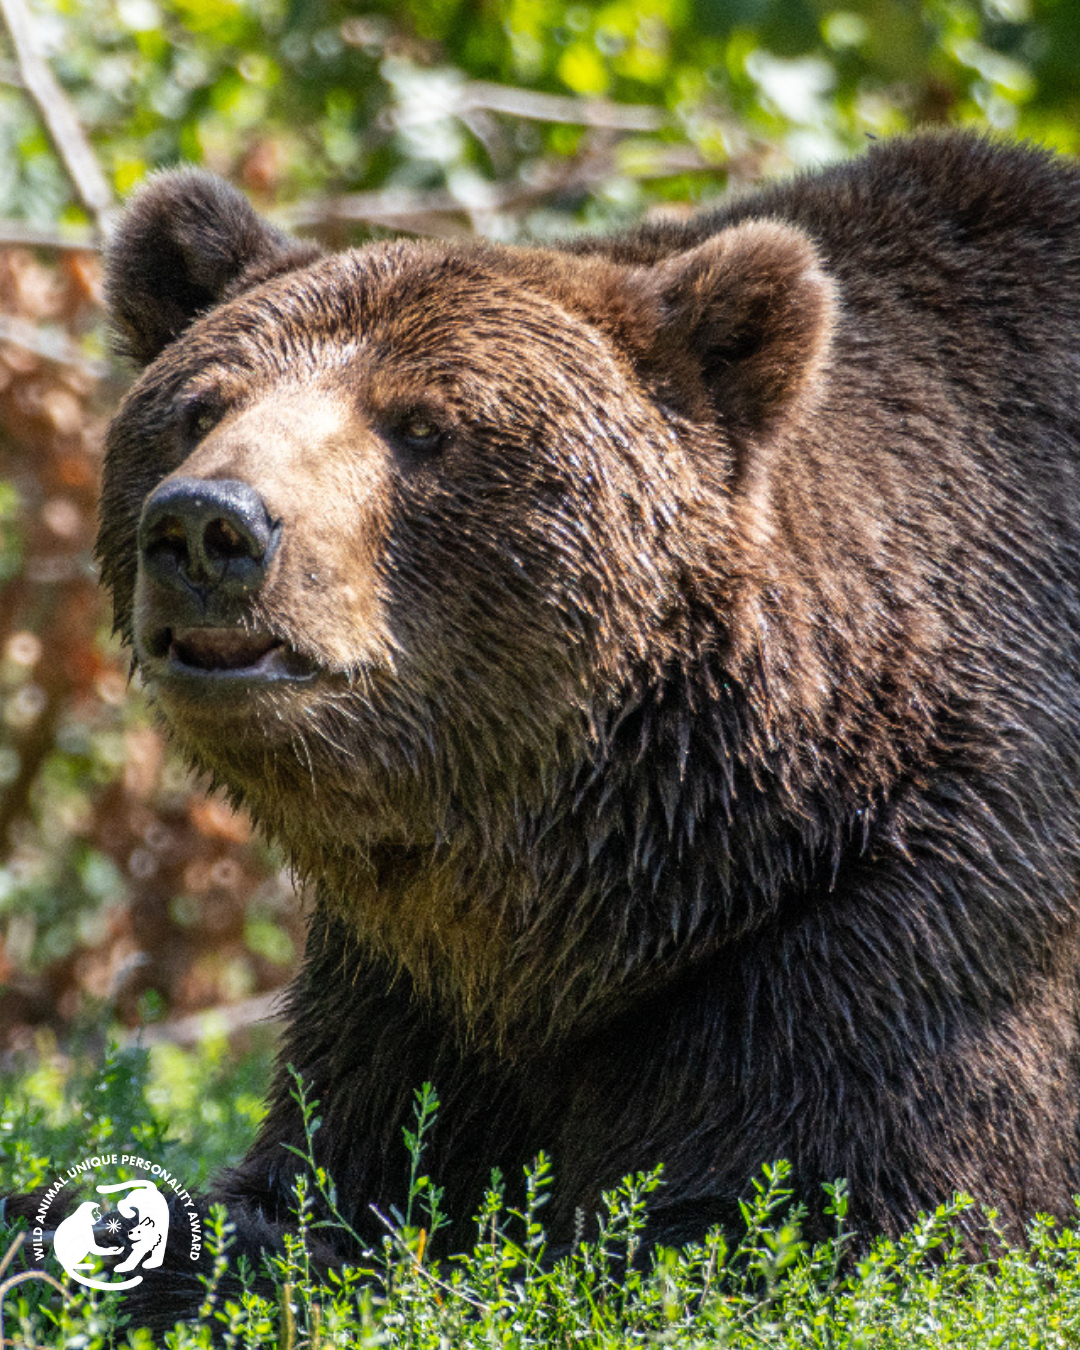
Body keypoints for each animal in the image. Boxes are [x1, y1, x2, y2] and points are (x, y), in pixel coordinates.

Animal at [93, 134, 1080, 1317]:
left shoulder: (921, 902)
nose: (210, 524)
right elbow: (326, 1176)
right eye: (200, 408)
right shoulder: (405, 987)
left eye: (422, 423)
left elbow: (802, 1221)